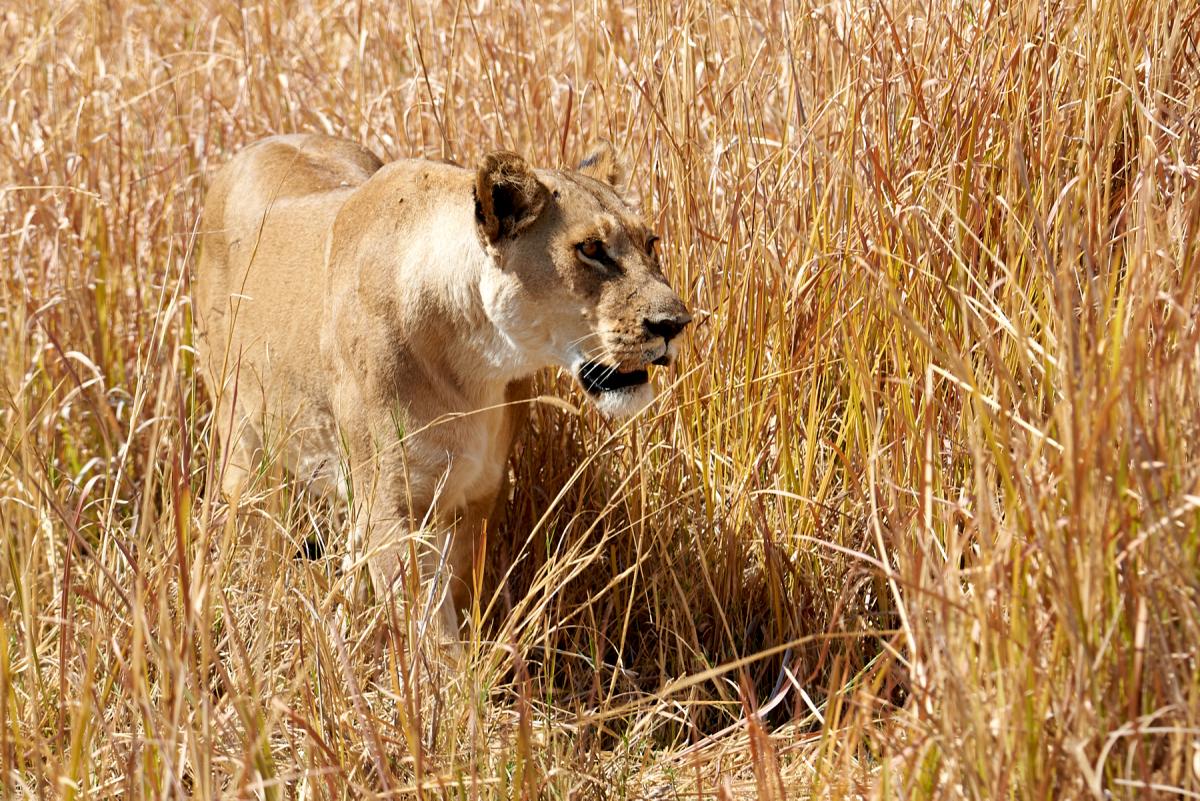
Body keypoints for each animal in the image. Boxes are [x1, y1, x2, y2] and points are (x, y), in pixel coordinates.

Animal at [194, 133, 691, 638]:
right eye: (590, 249)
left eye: (650, 243)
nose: (675, 324)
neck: (479, 366)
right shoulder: (392, 508)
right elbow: (427, 628)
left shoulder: (479, 493)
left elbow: (456, 596)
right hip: (243, 446)